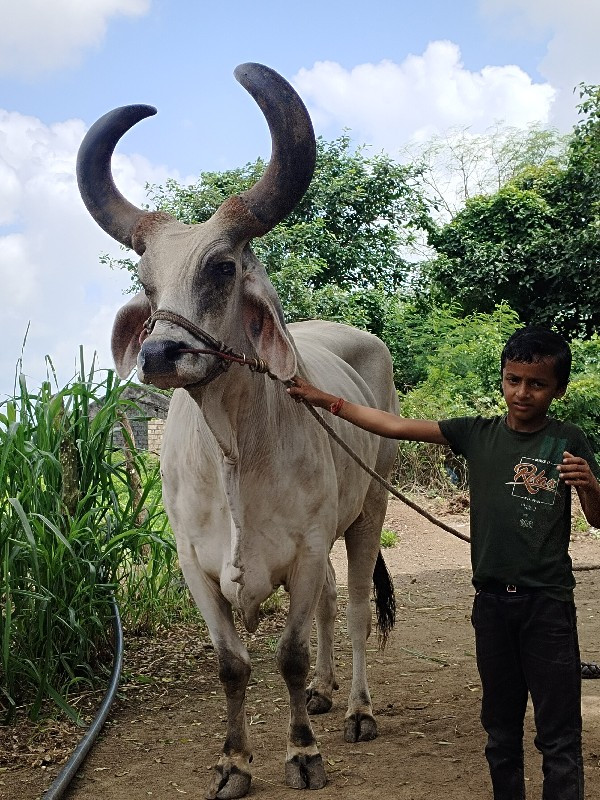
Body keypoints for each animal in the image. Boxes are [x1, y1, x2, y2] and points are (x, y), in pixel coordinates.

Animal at [77, 64, 400, 800]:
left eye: (222, 267)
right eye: (146, 280)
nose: (160, 354)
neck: (232, 447)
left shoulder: (305, 549)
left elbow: (288, 654)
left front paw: (302, 753)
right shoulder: (193, 564)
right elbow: (233, 665)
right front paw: (233, 763)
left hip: (369, 508)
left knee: (356, 609)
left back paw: (356, 707)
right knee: (332, 605)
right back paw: (326, 692)